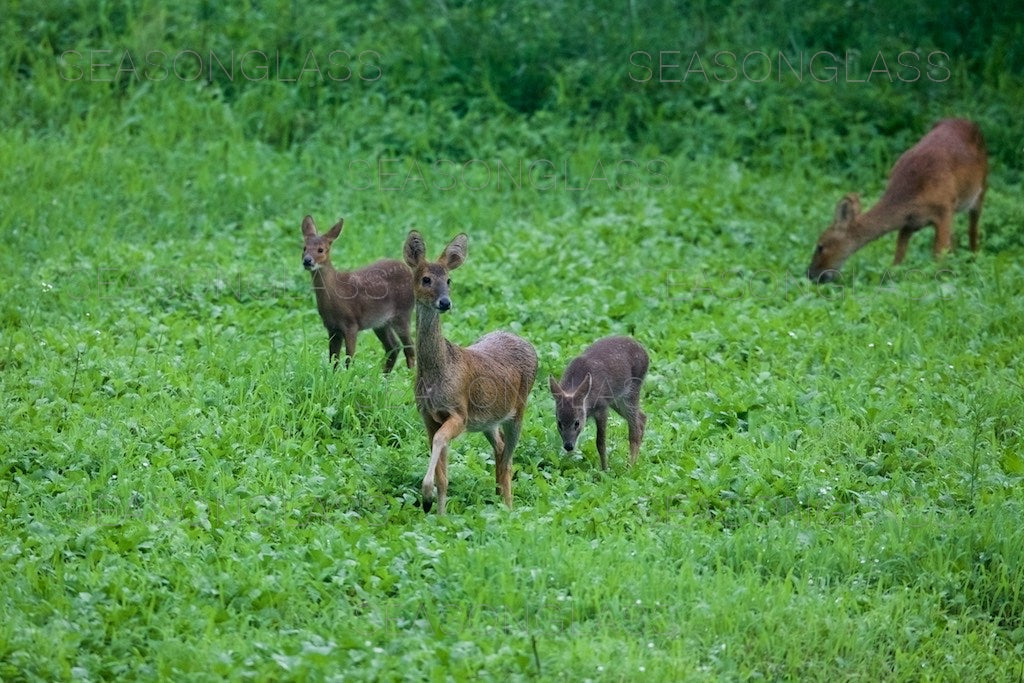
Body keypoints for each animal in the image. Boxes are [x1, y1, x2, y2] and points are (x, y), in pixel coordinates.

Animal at [299, 215, 415, 370]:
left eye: (321, 250)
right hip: (380, 322)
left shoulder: (351, 324)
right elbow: (333, 359)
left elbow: (349, 359)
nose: (307, 261)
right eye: (304, 248)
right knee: (394, 347)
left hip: (403, 312)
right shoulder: (332, 328)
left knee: (409, 347)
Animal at [403, 229, 540, 511]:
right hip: (489, 419)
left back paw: (508, 507)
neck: (438, 374)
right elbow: (443, 471)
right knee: (500, 449)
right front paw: (439, 512)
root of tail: (528, 344)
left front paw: (427, 493)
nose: (445, 302)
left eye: (449, 279)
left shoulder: (460, 412)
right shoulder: (428, 415)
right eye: (426, 279)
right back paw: (497, 496)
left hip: (519, 409)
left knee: (508, 459)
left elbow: (440, 441)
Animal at [548, 335, 651, 471]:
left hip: (632, 390)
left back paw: (629, 467)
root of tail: (645, 352)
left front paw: (604, 470)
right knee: (642, 417)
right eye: (559, 423)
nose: (568, 446)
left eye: (577, 422)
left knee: (635, 430)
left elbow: (600, 442)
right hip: (617, 400)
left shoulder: (602, 407)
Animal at [806, 117, 991, 282]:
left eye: (820, 246)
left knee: (973, 231)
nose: (810, 274)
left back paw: (974, 261)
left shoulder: (945, 209)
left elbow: (938, 257)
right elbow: (897, 260)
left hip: (981, 188)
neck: (910, 197)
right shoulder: (908, 224)